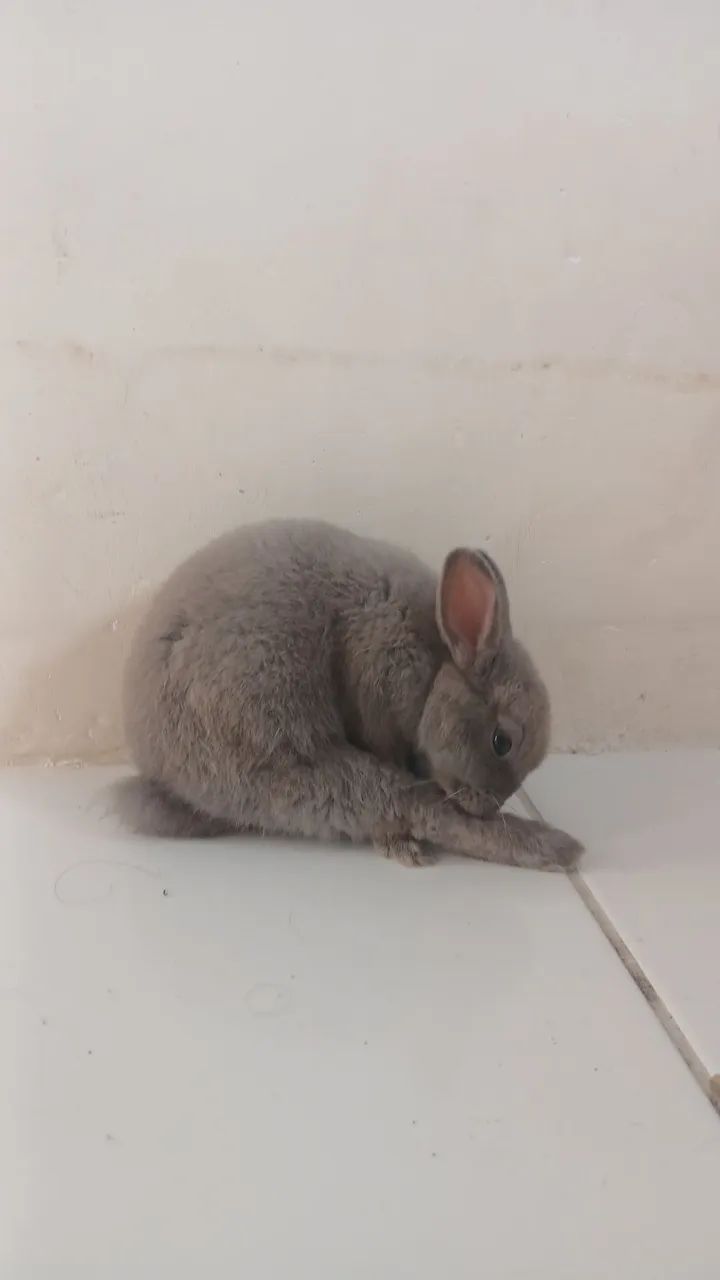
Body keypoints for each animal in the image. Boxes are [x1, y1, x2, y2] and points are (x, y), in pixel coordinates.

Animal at [117, 519, 582, 870]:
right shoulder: (377, 676)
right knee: (405, 808)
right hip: (288, 754)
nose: (488, 807)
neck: (435, 659)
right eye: (501, 741)